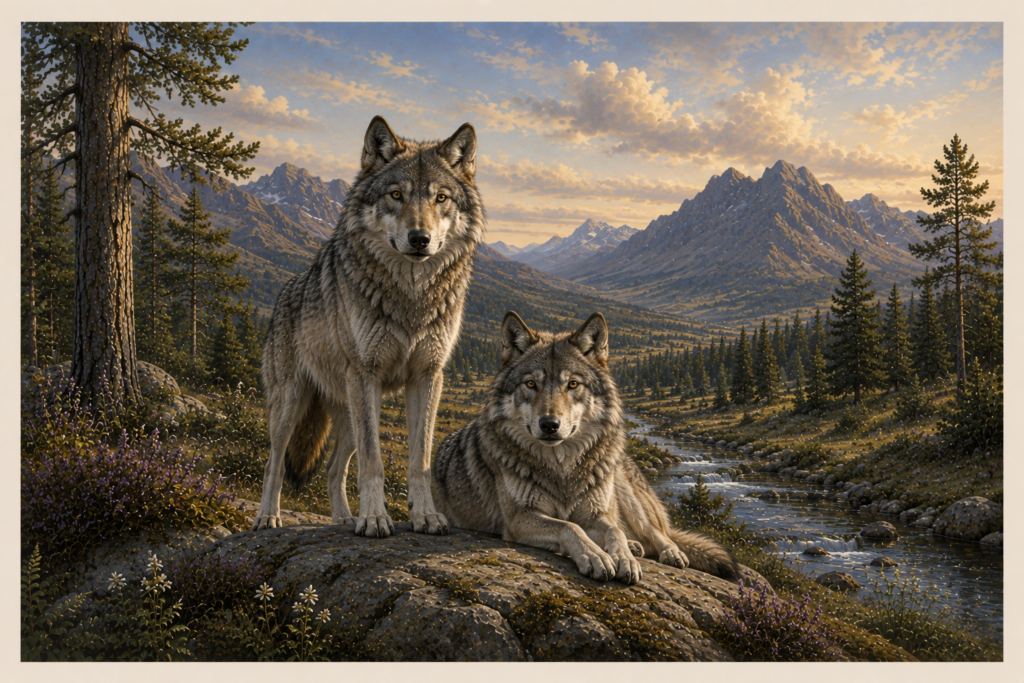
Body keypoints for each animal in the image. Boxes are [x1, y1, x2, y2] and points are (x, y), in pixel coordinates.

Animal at [252, 115, 484, 537]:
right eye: (396, 195)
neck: (411, 295)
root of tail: (285, 292)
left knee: (333, 468)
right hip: (292, 405)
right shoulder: (366, 373)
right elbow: (374, 463)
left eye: (441, 198)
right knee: (272, 463)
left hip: (349, 413)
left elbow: (419, 461)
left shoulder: (428, 376)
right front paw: (375, 518)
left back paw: (344, 518)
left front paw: (425, 516)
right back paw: (268, 517)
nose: (419, 238)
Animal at [433, 312, 738, 584]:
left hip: (623, 489)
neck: (562, 467)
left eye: (573, 384)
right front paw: (595, 555)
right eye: (531, 384)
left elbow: (614, 531)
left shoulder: (596, 513)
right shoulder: (519, 518)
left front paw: (624, 558)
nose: (549, 424)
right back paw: (634, 547)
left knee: (657, 533)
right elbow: (570, 526)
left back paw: (667, 552)